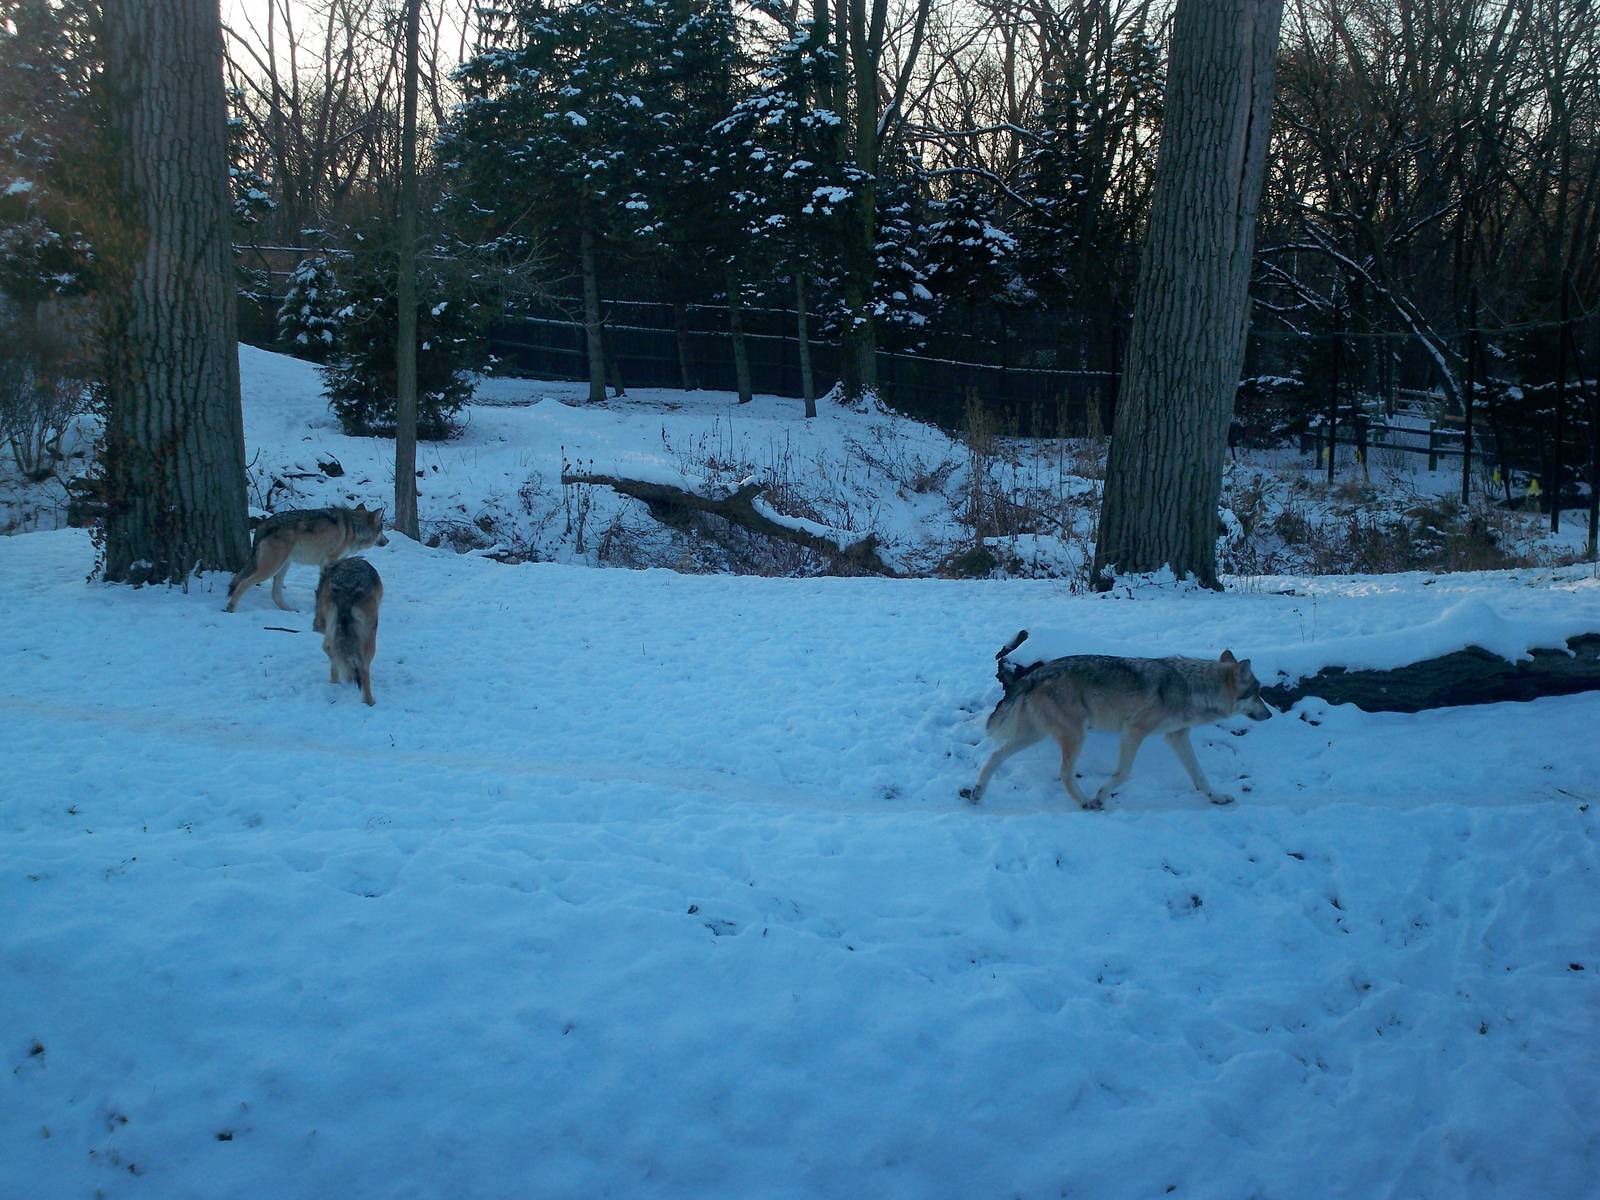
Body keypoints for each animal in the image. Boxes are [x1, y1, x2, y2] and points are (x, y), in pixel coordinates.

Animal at [225, 505, 388, 613]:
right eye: (382, 529)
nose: (388, 541)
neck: (353, 528)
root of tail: (264, 524)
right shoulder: (327, 563)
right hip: (271, 569)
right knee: (243, 583)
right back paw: (231, 608)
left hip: (283, 567)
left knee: (275, 594)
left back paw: (289, 609)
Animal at [312, 557, 383, 706]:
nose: (314, 626)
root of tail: (346, 591)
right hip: (370, 636)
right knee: (363, 667)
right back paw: (369, 701)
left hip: (332, 630)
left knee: (330, 649)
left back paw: (335, 683)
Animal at [964, 630, 1272, 809]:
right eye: (1258, 694)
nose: (1270, 714)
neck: (1192, 688)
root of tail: (1035, 674)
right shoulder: (1133, 732)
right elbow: (1122, 773)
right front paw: (1101, 795)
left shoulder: (1177, 736)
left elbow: (1199, 775)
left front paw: (1217, 798)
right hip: (1076, 735)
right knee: (1064, 773)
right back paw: (1086, 802)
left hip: (1035, 735)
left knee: (994, 756)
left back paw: (977, 793)